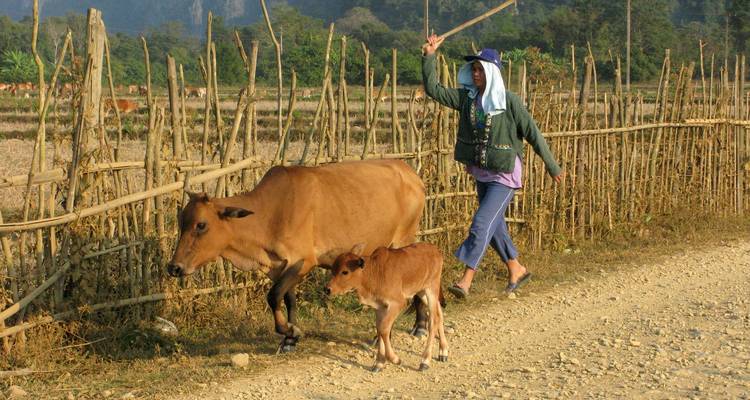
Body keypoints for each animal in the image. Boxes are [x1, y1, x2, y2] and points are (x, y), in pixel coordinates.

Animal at [167, 159, 427, 352]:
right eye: (181, 221)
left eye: (201, 225)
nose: (174, 267)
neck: (270, 212)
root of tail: (410, 173)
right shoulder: (278, 266)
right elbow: (288, 298)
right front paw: (290, 339)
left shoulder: (303, 261)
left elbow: (273, 296)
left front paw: (291, 331)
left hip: (404, 239)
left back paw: (417, 326)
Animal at [325, 243, 448, 372]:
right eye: (333, 270)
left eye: (345, 272)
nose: (327, 289)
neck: (374, 273)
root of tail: (435, 250)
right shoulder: (379, 307)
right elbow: (380, 329)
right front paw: (379, 363)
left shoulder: (398, 303)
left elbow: (384, 329)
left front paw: (394, 359)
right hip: (422, 291)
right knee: (439, 315)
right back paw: (443, 352)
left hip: (431, 289)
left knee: (434, 320)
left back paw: (425, 361)